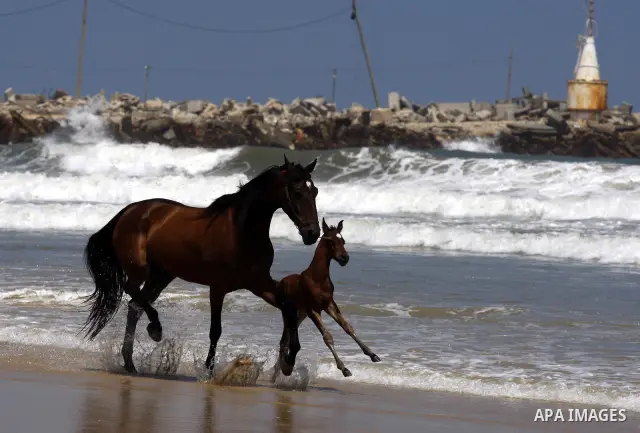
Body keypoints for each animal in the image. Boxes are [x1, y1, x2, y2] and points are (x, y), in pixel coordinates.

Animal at [80, 155, 321, 377]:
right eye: (297, 191)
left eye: (315, 191)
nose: (312, 233)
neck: (241, 233)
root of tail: (129, 211)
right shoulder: (218, 288)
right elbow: (215, 330)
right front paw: (208, 370)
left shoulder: (259, 284)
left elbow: (289, 308)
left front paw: (289, 359)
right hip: (140, 270)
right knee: (131, 292)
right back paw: (155, 330)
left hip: (161, 275)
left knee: (134, 307)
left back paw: (130, 362)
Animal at [275, 217, 380, 378]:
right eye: (330, 241)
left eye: (343, 240)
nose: (345, 258)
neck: (317, 279)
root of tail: (281, 282)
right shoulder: (313, 309)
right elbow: (327, 336)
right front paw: (344, 368)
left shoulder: (329, 304)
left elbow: (347, 327)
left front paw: (372, 354)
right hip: (289, 313)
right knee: (285, 338)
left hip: (300, 314)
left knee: (285, 338)